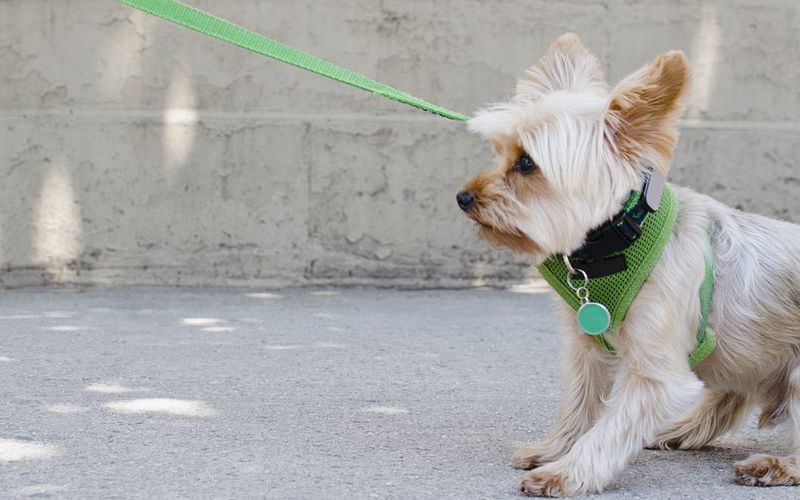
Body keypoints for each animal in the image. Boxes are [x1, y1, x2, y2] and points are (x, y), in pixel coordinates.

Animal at [456, 32, 800, 496]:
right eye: (500, 152)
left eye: (526, 163)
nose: (463, 197)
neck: (614, 241)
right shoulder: (586, 347)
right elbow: (579, 402)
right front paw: (553, 448)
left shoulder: (653, 371)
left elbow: (612, 428)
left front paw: (567, 472)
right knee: (730, 395)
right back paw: (679, 431)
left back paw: (774, 464)